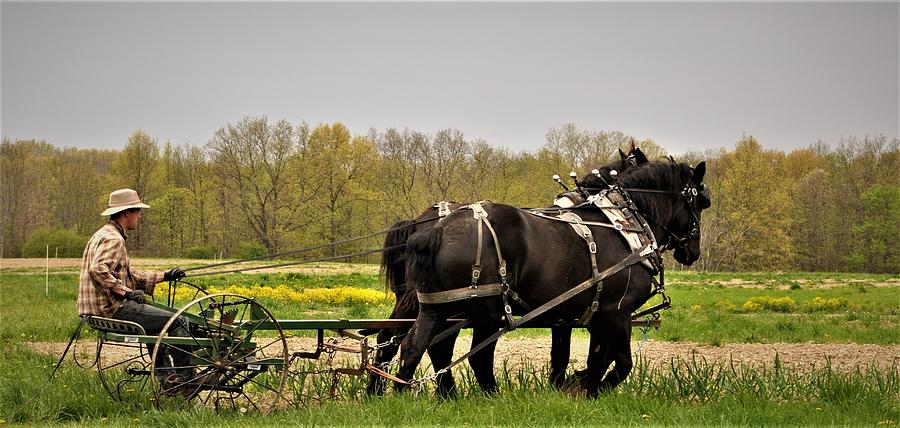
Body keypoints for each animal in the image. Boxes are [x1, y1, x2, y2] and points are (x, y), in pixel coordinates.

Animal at [394, 160, 712, 398]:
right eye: (699, 202)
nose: (693, 250)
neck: (624, 226)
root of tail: (436, 229)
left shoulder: (580, 316)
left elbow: (589, 355)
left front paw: (579, 386)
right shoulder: (617, 312)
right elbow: (621, 362)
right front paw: (591, 389)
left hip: (437, 307)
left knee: (415, 346)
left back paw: (406, 394)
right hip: (487, 311)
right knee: (474, 356)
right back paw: (489, 397)